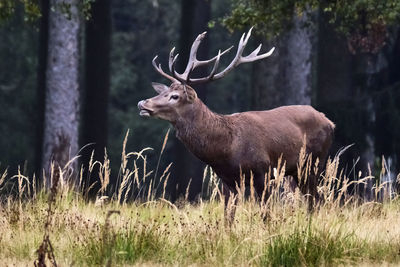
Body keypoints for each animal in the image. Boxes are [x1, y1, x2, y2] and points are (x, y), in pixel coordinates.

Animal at [138, 27, 334, 220]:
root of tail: (330, 122)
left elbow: (266, 215)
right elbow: (228, 217)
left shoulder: (262, 172)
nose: (143, 103)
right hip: (296, 171)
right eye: (163, 92)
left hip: (314, 163)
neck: (226, 148)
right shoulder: (228, 180)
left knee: (317, 200)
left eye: (175, 96)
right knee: (313, 201)